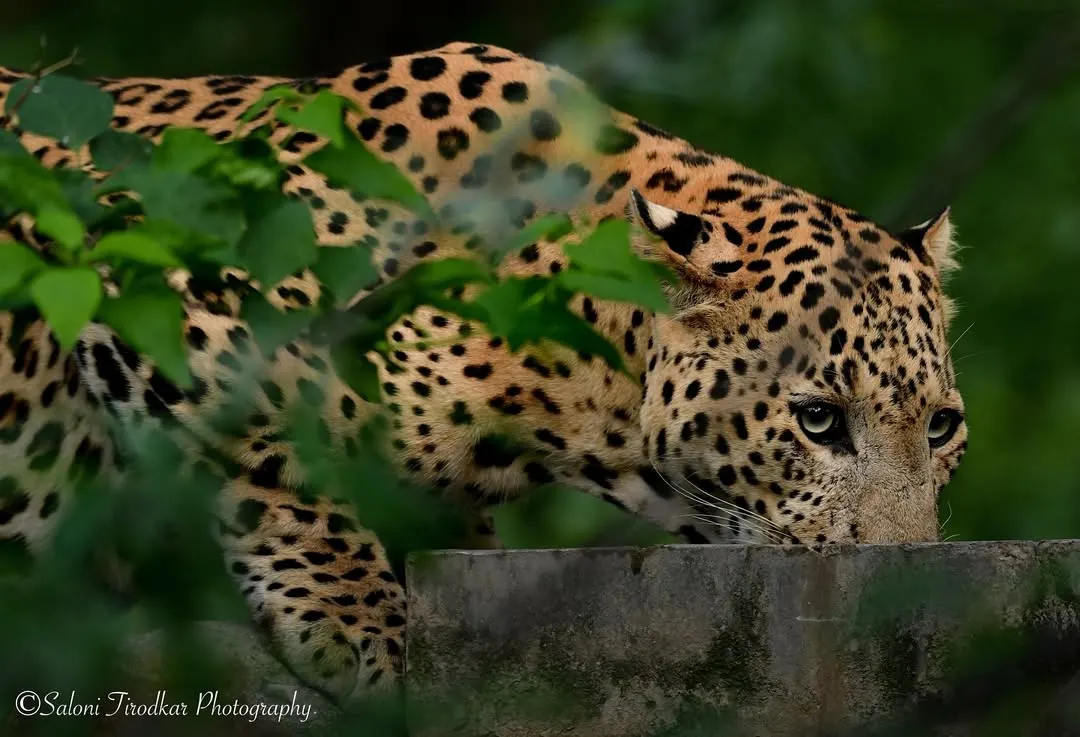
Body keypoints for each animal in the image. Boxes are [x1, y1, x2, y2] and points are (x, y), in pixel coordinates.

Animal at [0, 41, 968, 707]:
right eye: (818, 419)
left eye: (942, 425)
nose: (903, 575)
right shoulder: (147, 246)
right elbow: (274, 447)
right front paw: (360, 625)